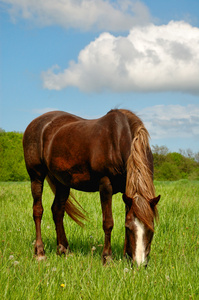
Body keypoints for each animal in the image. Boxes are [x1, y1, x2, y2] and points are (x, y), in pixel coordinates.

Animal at [22, 109, 160, 266]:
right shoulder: (105, 185)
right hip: (36, 176)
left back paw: (64, 250)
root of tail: (34, 123)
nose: (140, 264)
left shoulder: (127, 192)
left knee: (57, 210)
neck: (119, 139)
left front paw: (126, 256)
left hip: (62, 182)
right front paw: (107, 257)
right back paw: (40, 252)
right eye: (129, 227)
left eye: (151, 228)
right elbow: (108, 222)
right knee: (38, 211)